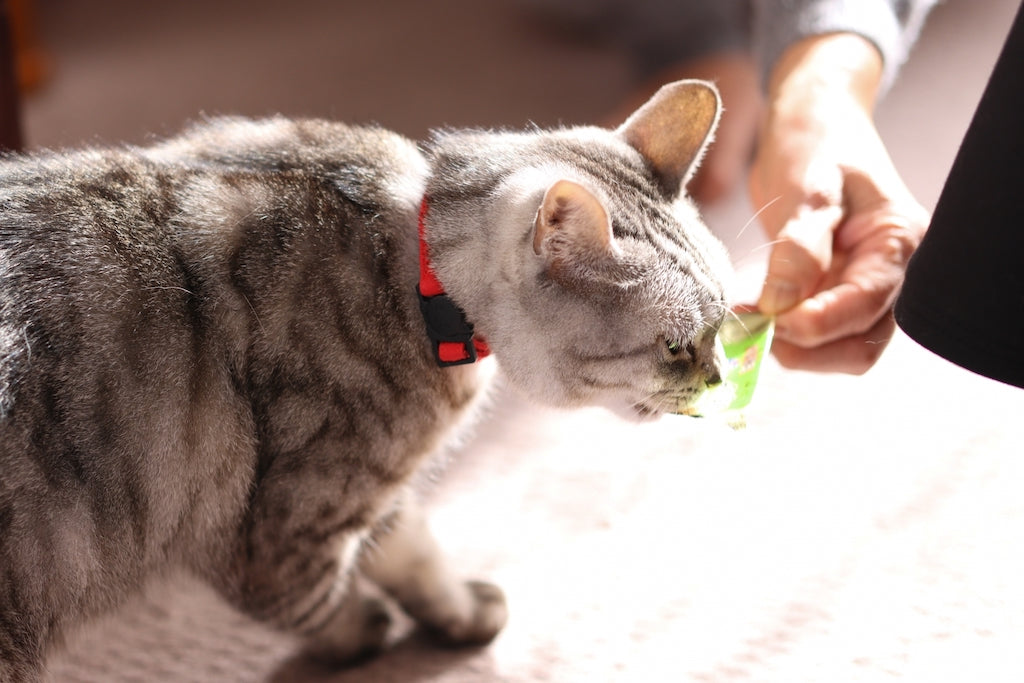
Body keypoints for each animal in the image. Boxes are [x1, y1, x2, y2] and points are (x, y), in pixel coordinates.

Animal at [2, 80, 737, 679]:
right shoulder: (280, 527)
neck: (415, 273)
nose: (717, 380)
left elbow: (414, 553)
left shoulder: (377, 492)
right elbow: (313, 600)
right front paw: (363, 632)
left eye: (723, 321)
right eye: (676, 347)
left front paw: (461, 612)